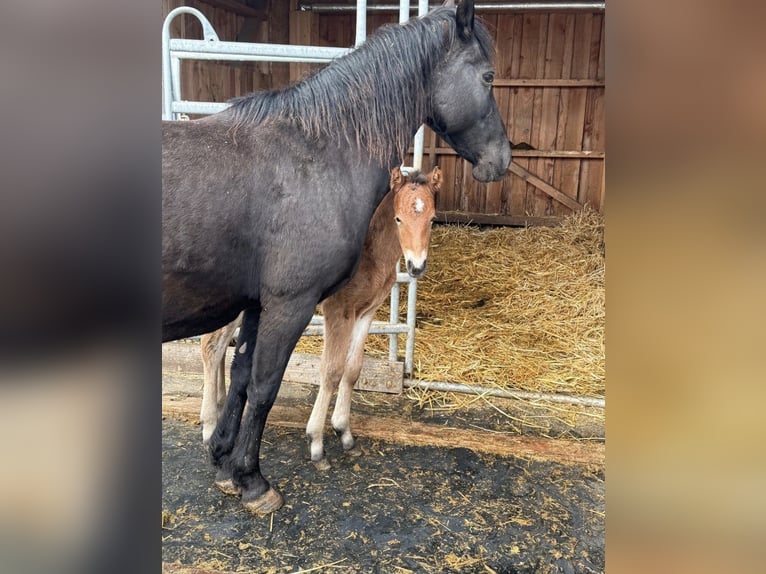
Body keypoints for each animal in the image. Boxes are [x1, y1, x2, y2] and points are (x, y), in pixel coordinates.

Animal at [198, 167, 440, 469]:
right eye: (398, 218)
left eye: (432, 218)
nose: (416, 266)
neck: (371, 250)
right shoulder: (339, 311)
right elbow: (332, 370)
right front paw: (316, 441)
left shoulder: (366, 312)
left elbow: (353, 369)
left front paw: (344, 431)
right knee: (211, 346)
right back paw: (209, 427)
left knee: (219, 349)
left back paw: (220, 409)